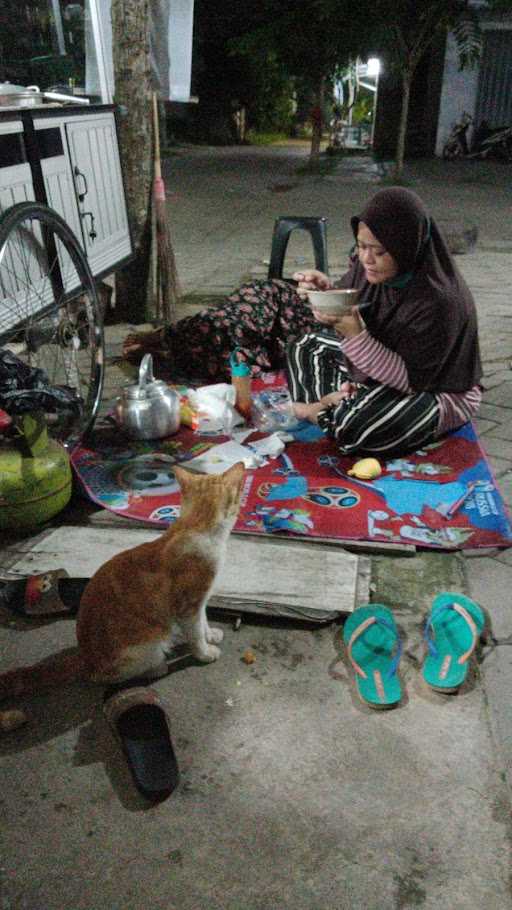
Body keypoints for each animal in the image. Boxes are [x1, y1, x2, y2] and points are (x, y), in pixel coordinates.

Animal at [0, 464, 246, 704]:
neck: (194, 525)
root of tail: (86, 658)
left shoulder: (200, 601)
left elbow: (203, 621)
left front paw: (210, 634)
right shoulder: (187, 606)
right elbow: (195, 634)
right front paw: (204, 653)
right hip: (148, 644)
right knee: (113, 676)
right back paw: (158, 667)